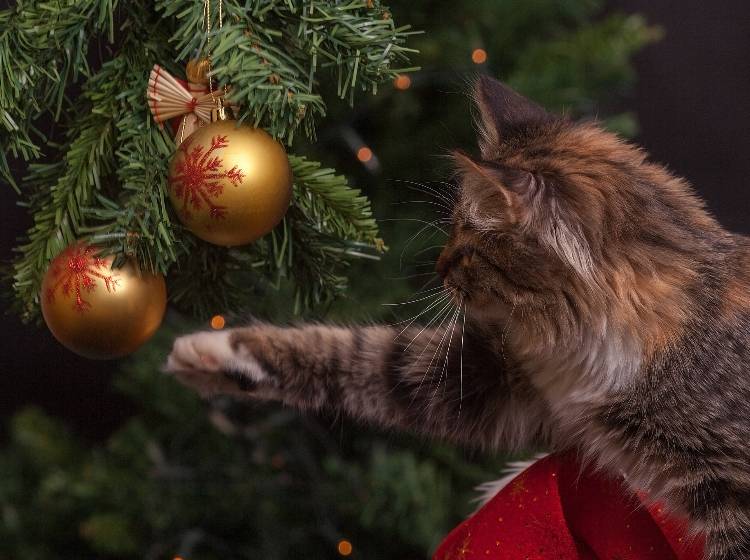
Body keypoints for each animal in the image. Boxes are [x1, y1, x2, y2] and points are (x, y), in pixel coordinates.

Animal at [167, 75, 748, 560]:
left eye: (469, 245)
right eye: (452, 228)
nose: (439, 266)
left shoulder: (732, 494)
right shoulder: (499, 382)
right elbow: (357, 356)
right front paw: (214, 353)